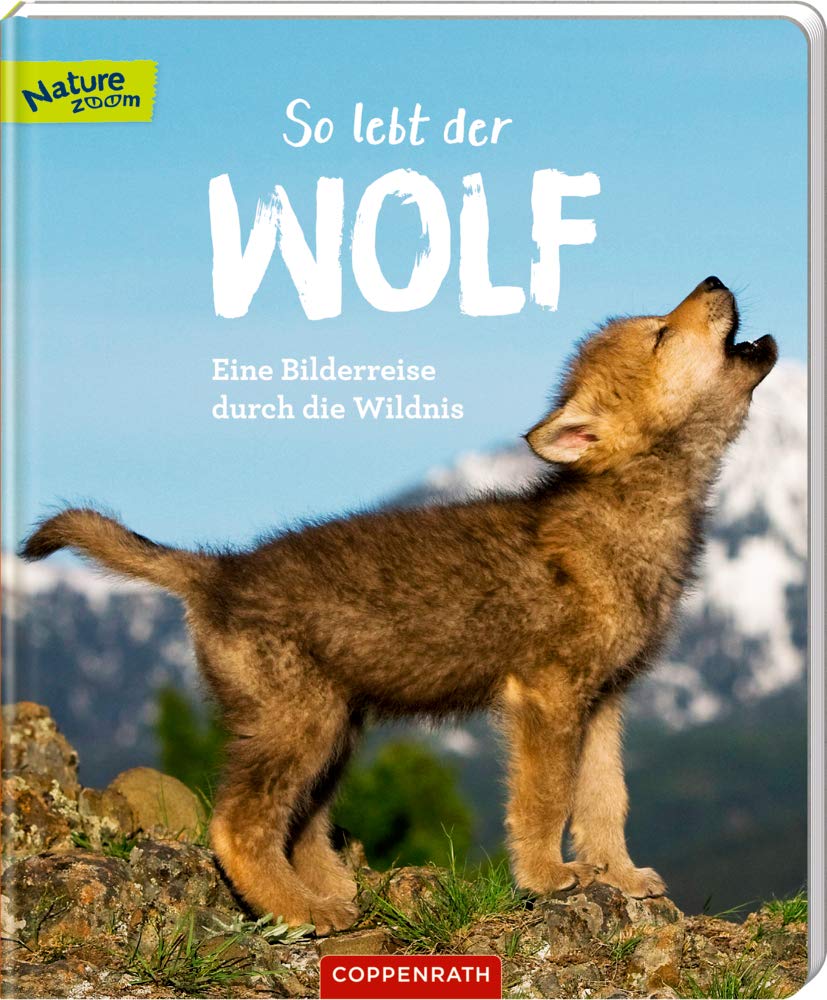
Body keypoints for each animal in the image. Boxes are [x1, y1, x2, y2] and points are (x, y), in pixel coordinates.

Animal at [22, 277, 777, 934]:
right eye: (660, 334)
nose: (713, 278)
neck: (634, 507)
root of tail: (219, 570)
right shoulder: (547, 694)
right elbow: (544, 799)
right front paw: (546, 877)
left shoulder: (604, 699)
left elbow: (605, 798)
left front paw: (618, 876)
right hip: (299, 726)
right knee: (238, 826)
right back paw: (304, 912)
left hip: (331, 731)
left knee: (298, 827)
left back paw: (331, 892)